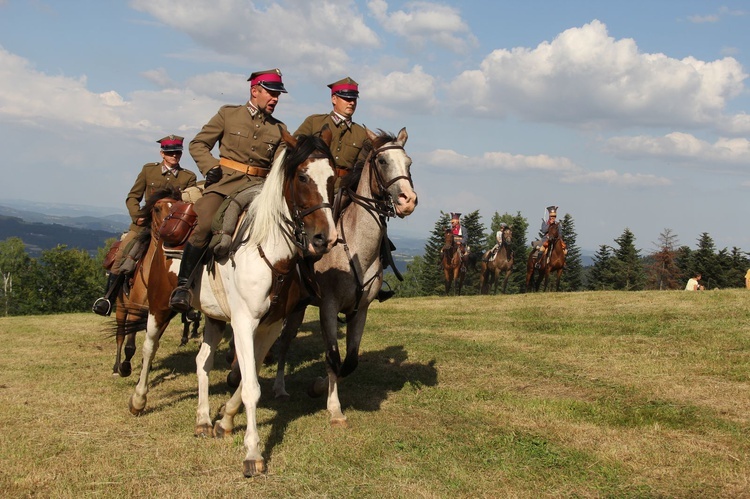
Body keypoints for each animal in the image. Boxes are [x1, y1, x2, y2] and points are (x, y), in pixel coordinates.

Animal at [129, 131, 338, 478]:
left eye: (333, 178)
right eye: (303, 177)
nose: (326, 238)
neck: (268, 251)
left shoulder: (270, 326)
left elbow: (245, 377)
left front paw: (224, 421)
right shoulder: (243, 321)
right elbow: (251, 385)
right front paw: (253, 453)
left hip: (213, 318)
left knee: (202, 361)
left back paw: (202, 419)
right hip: (160, 306)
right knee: (149, 349)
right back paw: (138, 399)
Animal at [274, 128, 420, 426]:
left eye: (409, 163)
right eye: (382, 161)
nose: (408, 200)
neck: (354, 246)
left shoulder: (360, 310)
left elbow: (349, 361)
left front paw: (319, 386)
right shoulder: (328, 308)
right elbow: (332, 356)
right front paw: (333, 407)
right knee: (282, 344)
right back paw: (278, 388)